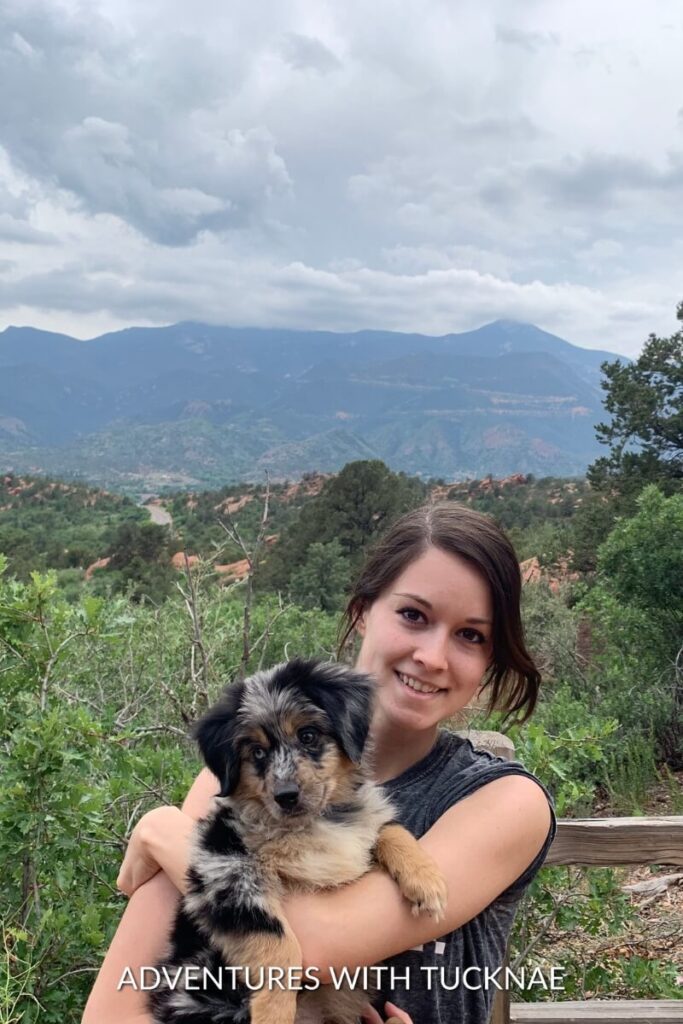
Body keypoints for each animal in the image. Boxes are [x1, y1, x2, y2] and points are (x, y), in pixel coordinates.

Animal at [150, 659, 448, 1024]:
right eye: (257, 753)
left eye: (308, 735)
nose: (286, 796)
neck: (308, 826)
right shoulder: (223, 872)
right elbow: (280, 942)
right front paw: (274, 1013)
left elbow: (388, 829)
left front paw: (426, 880)